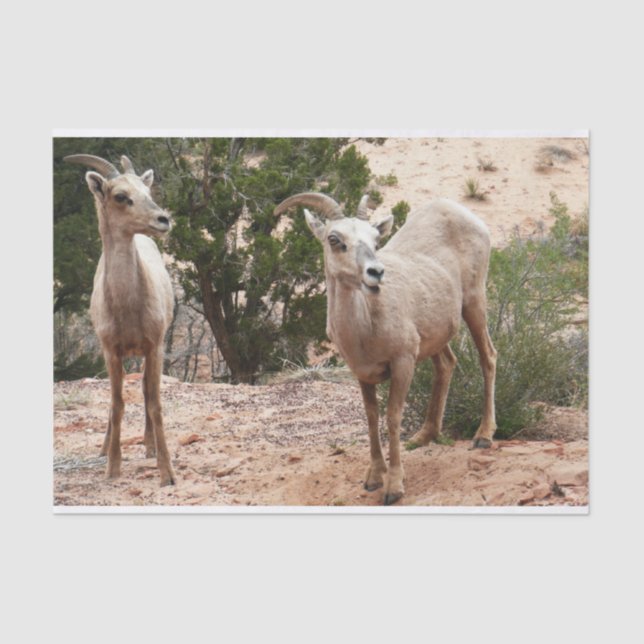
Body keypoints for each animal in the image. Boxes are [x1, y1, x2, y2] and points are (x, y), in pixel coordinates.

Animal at [64, 154, 176, 486]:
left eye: (147, 190)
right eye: (120, 196)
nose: (163, 220)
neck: (128, 307)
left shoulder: (154, 346)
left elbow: (154, 402)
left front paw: (167, 472)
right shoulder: (110, 350)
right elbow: (116, 404)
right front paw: (112, 466)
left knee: (147, 391)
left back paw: (150, 447)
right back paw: (104, 449)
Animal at [274, 193, 497, 505]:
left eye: (375, 239)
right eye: (334, 238)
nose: (376, 273)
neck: (365, 328)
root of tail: (460, 211)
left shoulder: (403, 363)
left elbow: (392, 417)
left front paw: (393, 487)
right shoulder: (362, 373)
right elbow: (371, 418)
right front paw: (373, 479)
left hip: (474, 303)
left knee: (488, 357)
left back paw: (483, 436)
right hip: (436, 335)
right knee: (447, 364)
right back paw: (423, 437)